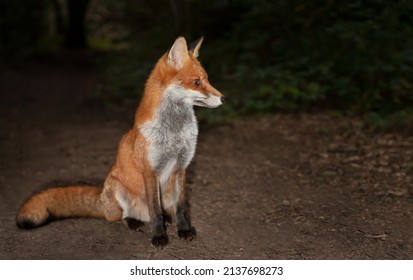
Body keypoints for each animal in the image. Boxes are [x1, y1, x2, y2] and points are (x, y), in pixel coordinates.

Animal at [16, 36, 224, 247]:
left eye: (207, 79)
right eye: (196, 82)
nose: (223, 98)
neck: (174, 132)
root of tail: (102, 198)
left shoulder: (181, 168)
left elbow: (181, 208)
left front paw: (184, 230)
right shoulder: (150, 172)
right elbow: (155, 212)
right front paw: (159, 236)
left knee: (163, 211)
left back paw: (167, 219)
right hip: (118, 189)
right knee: (122, 217)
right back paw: (134, 222)